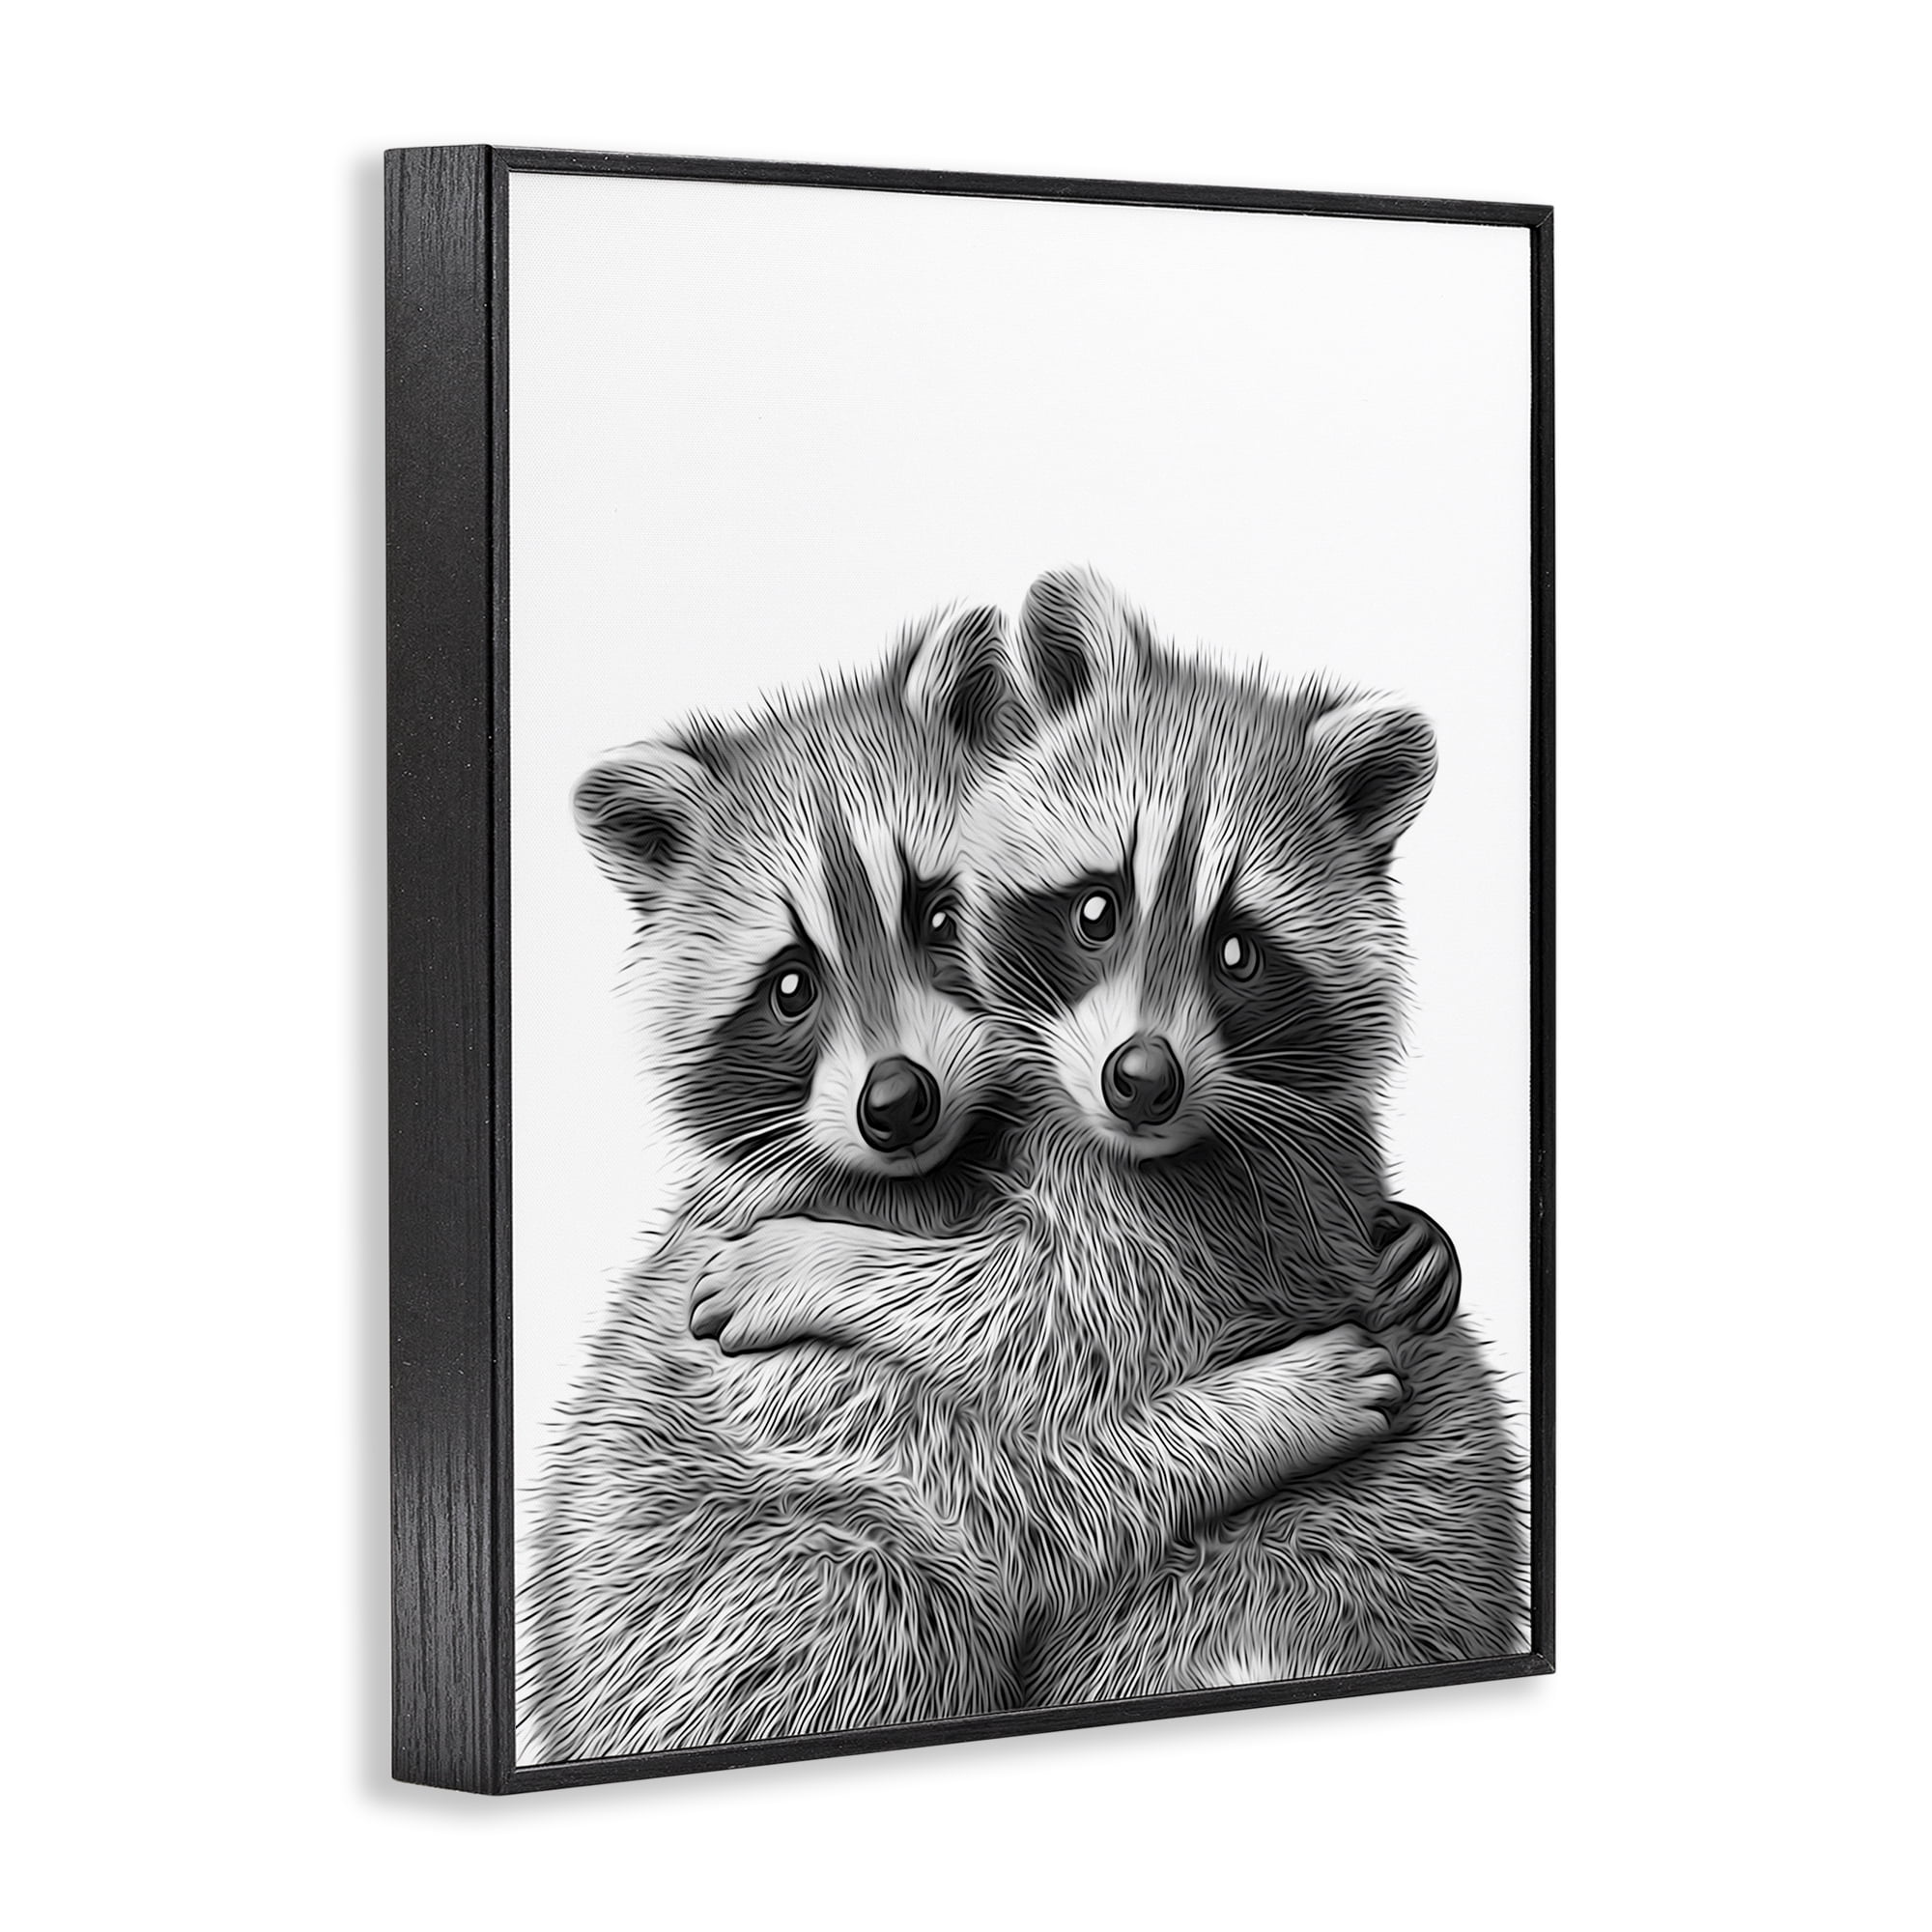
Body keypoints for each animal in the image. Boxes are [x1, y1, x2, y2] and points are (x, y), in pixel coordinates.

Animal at [518, 604, 1414, 1764]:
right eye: (790, 986)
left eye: (937, 920)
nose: (897, 1100)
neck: (940, 1167)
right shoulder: (772, 1384)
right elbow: (1012, 1503)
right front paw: (1266, 1409)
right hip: (775, 1611)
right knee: (874, 1589)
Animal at [693, 570, 1524, 1699]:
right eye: (1097, 909)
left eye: (1236, 950)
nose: (1141, 1081)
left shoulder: (1204, 1219)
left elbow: (1031, 1315)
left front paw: (811, 1260)